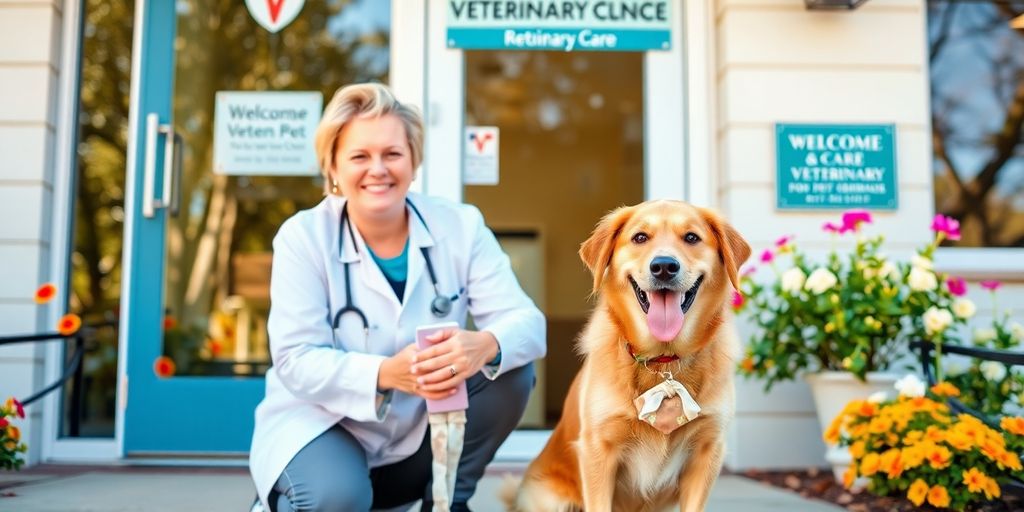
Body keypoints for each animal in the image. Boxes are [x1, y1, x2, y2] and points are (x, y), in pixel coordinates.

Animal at [505, 199, 753, 512]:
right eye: (640, 237)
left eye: (691, 237)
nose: (664, 266)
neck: (664, 360)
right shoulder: (598, 451)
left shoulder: (708, 451)